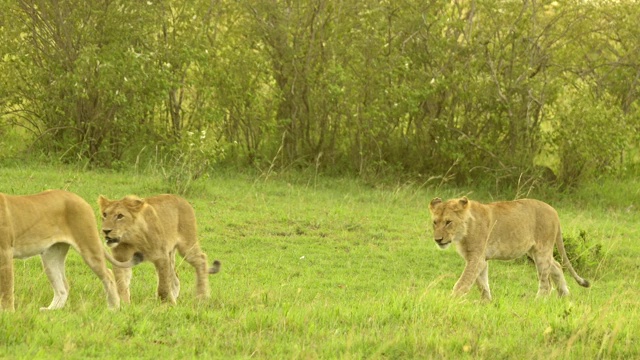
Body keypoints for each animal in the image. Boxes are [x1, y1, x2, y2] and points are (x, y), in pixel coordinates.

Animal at [0, 190, 141, 310]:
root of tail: (77, 197)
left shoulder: (5, 251)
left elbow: (6, 289)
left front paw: (8, 314)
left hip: (88, 246)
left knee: (108, 275)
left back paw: (114, 308)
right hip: (50, 255)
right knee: (63, 287)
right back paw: (50, 312)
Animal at [430, 195, 592, 300]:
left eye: (448, 222)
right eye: (435, 222)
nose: (438, 240)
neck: (463, 231)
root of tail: (554, 212)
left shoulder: (476, 258)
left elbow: (464, 281)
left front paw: (451, 301)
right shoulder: (480, 259)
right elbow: (482, 284)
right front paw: (487, 303)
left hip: (542, 250)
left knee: (546, 284)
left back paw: (537, 302)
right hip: (534, 251)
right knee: (557, 266)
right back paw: (564, 296)